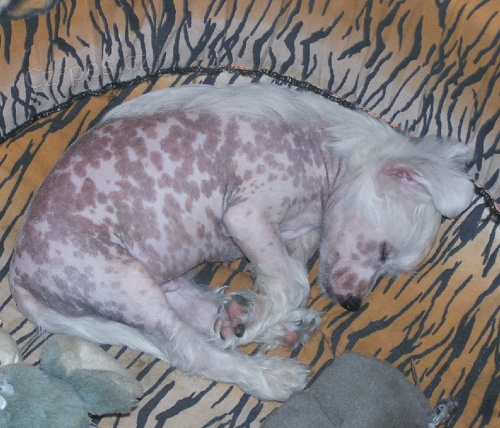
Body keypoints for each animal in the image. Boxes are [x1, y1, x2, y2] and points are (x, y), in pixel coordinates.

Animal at [9, 83, 474, 401]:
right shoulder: (246, 215)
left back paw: (266, 324)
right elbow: (292, 283)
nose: (353, 304)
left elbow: (288, 272)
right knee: (192, 349)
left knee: (199, 314)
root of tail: (17, 275)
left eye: (388, 266)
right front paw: (263, 311)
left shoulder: (293, 237)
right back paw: (270, 372)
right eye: (383, 252)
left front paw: (257, 311)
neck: (326, 155)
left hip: (151, 279)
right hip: (121, 278)